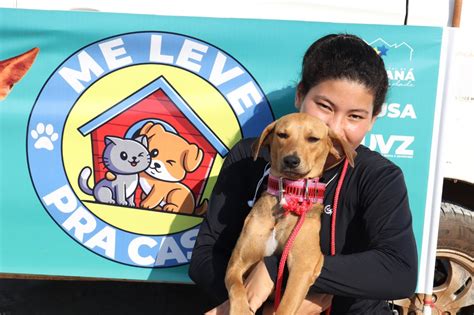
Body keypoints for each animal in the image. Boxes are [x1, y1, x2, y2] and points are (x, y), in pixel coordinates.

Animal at [226, 113, 356, 315]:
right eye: (282, 135)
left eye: (313, 139)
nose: (291, 160)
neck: (288, 195)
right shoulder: (236, 263)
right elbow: (236, 288)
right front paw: (241, 310)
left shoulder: (303, 265)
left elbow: (285, 307)